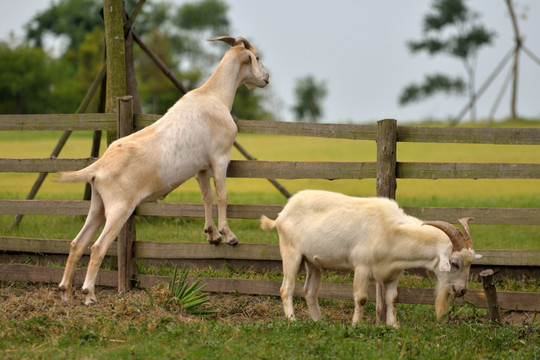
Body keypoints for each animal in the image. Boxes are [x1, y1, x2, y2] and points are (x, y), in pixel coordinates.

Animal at [58, 36, 268, 306]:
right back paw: (89, 294)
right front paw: (228, 235)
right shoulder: (220, 158)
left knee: (77, 243)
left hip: (98, 205)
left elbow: (206, 197)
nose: (267, 77)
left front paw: (211, 234)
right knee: (97, 247)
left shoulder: (201, 168)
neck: (214, 95)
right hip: (119, 208)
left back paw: (65, 292)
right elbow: (222, 196)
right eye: (257, 57)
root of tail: (98, 167)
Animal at [260, 190, 484, 328]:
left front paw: (393, 326)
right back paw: (292, 321)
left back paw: (319, 322)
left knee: (309, 291)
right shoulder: (362, 265)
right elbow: (361, 298)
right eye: (454, 263)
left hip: (313, 262)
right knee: (286, 289)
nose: (462, 290)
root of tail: (281, 216)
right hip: (291, 253)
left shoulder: (393, 272)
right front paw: (355, 325)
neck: (391, 232)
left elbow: (392, 298)